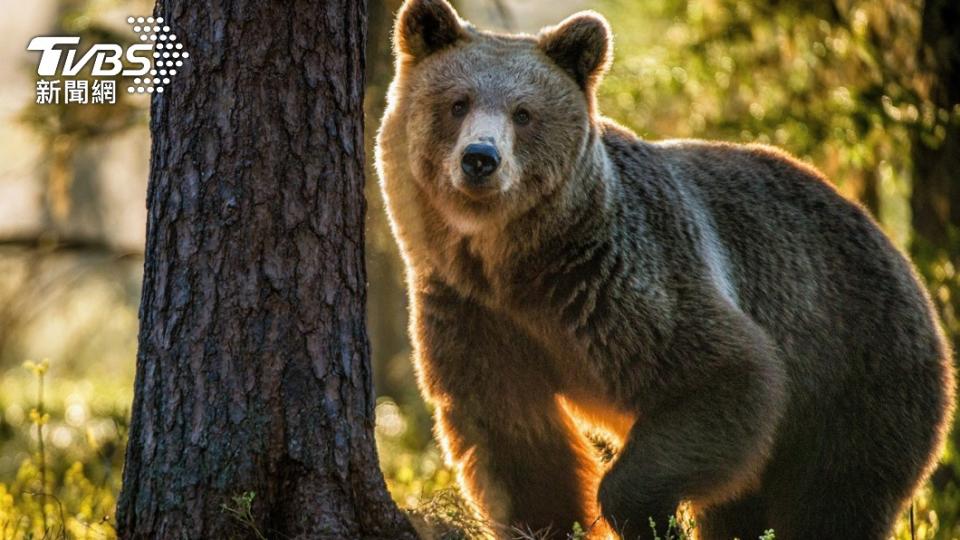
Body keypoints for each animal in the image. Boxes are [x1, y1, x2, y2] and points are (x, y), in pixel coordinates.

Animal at [374, 2, 952, 536]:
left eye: (523, 113)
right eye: (457, 102)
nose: (480, 158)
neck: (515, 262)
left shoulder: (620, 282)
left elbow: (725, 374)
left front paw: (642, 514)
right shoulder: (473, 311)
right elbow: (513, 440)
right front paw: (548, 520)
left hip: (852, 372)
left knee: (831, 500)